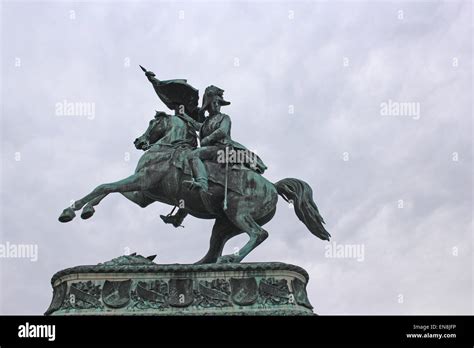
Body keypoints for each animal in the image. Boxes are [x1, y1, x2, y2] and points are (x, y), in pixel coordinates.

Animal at [58, 112, 330, 264]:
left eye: (152, 122)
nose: (138, 141)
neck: (167, 147)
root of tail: (272, 186)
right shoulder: (143, 194)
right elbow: (107, 189)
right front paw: (85, 209)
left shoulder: (142, 180)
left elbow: (104, 185)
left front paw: (72, 210)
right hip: (224, 224)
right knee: (212, 252)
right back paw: (188, 266)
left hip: (238, 212)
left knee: (258, 234)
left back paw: (232, 259)